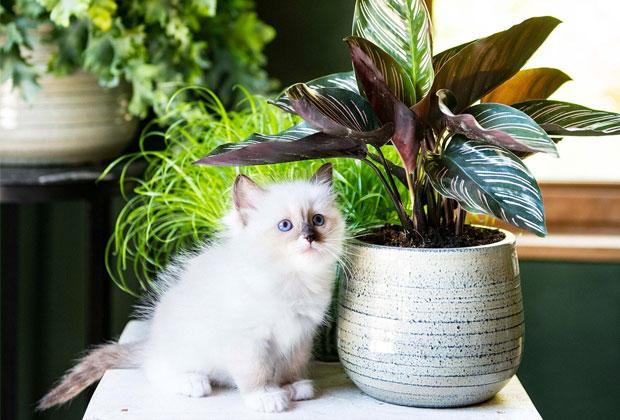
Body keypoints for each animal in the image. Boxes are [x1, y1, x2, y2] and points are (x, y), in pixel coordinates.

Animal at [40, 163, 344, 414]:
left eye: (317, 220)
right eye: (285, 226)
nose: (309, 238)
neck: (294, 279)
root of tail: (151, 342)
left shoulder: (301, 335)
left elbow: (291, 366)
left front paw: (293, 387)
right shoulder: (248, 340)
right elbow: (255, 374)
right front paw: (266, 397)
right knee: (154, 370)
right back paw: (192, 382)